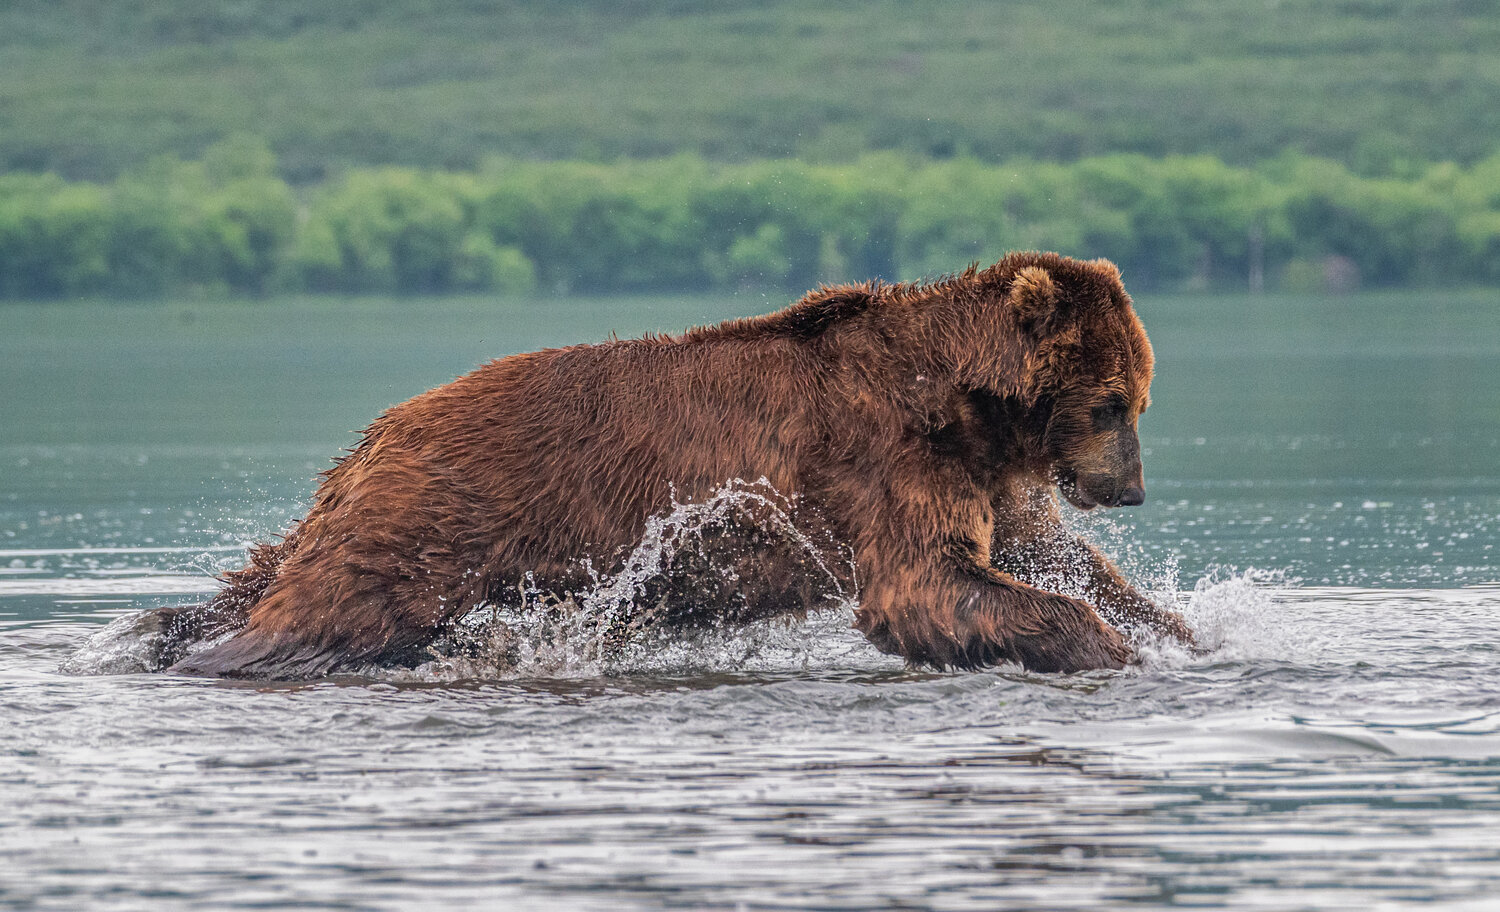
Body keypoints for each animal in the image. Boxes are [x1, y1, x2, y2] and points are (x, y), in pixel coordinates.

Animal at [162, 251, 1190, 679]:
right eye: (1112, 401)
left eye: (1139, 399)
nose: (1130, 488)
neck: (966, 405)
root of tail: (378, 433)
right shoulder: (883, 458)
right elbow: (926, 585)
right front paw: (1105, 644)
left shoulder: (985, 477)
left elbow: (1044, 555)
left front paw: (1180, 629)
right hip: (438, 511)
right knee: (333, 604)